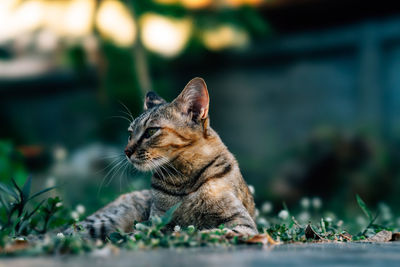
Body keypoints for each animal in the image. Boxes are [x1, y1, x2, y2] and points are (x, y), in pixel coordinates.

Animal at [70, 78, 258, 241]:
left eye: (151, 131)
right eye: (130, 134)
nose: (126, 151)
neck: (183, 180)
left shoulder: (242, 223)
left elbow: (211, 231)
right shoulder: (155, 222)